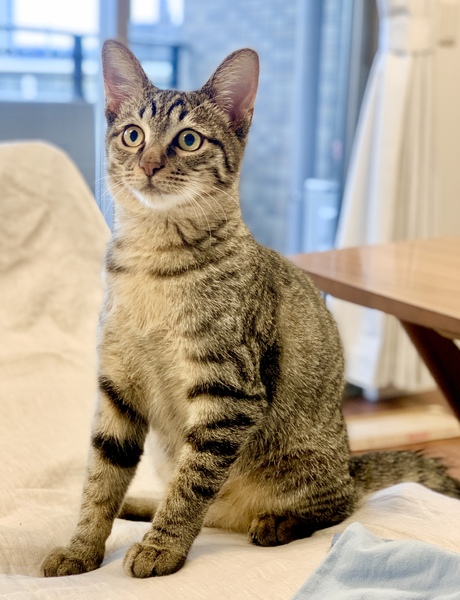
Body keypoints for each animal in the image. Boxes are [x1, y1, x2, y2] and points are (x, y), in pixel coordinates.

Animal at [42, 40, 460, 579]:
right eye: (133, 135)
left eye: (189, 140)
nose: (149, 164)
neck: (153, 264)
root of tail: (350, 460)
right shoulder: (118, 385)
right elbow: (100, 478)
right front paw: (82, 548)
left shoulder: (230, 392)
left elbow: (192, 484)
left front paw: (162, 547)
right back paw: (140, 505)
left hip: (303, 466)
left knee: (337, 505)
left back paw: (276, 522)